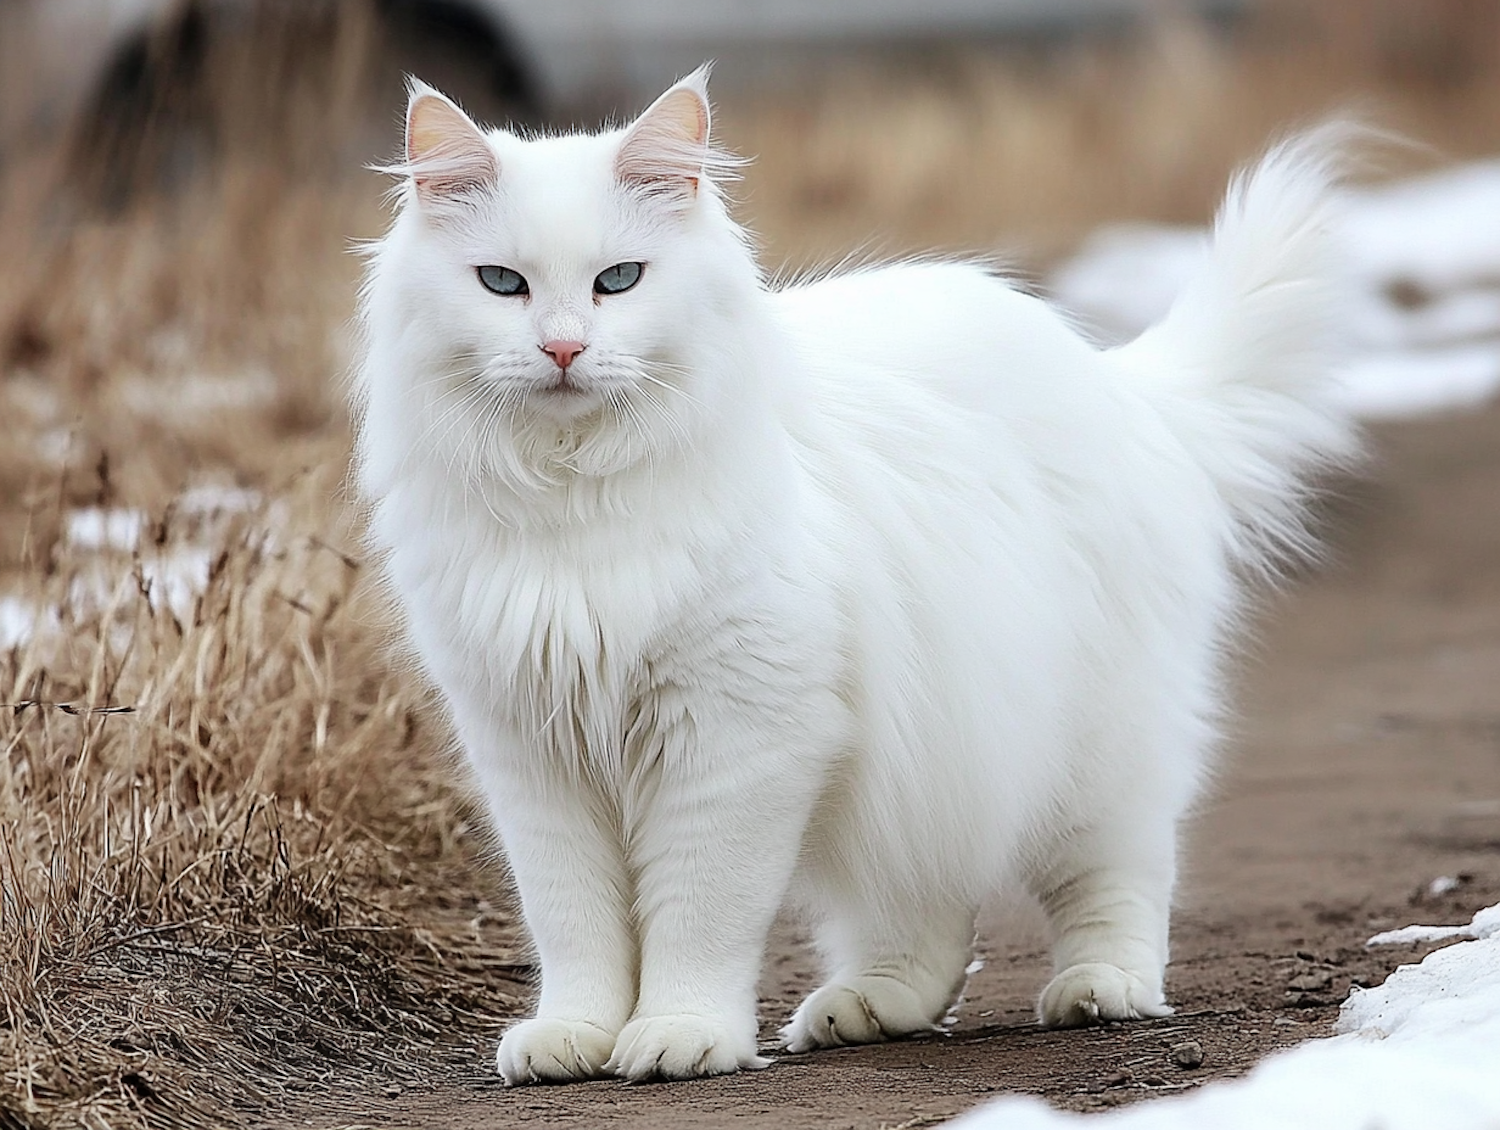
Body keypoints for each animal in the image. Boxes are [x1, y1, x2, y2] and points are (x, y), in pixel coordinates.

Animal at [354, 63, 1362, 1086]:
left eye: (618, 281)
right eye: (503, 284)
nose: (562, 349)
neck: (572, 508)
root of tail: (1117, 380)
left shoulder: (735, 737)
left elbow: (695, 915)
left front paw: (681, 1033)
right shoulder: (532, 755)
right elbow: (576, 924)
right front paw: (574, 1035)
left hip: (1091, 752)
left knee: (1119, 877)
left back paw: (1099, 990)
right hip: (925, 753)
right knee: (926, 912)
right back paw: (869, 1008)